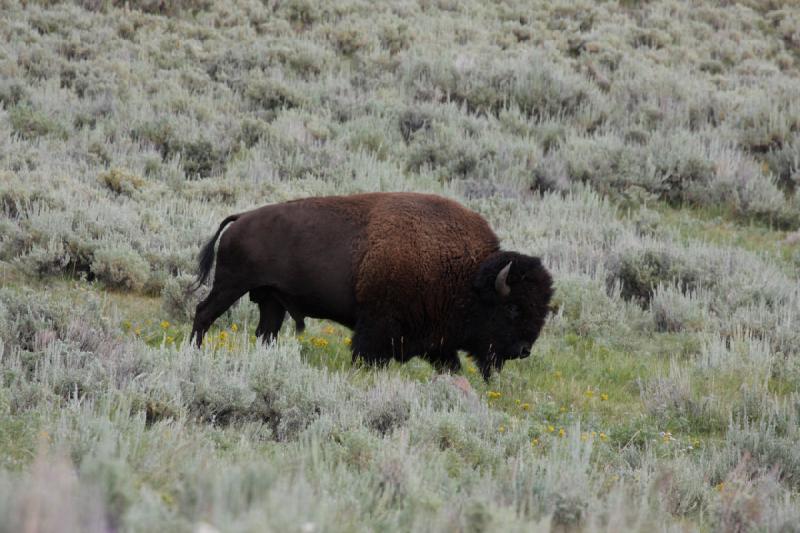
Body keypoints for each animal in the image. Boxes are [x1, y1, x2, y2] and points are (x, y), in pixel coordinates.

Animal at [189, 192, 552, 378]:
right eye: (513, 308)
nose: (524, 350)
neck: (467, 274)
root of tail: (241, 217)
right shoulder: (377, 327)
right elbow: (366, 355)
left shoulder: (437, 341)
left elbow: (451, 365)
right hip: (231, 285)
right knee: (203, 313)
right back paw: (194, 353)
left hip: (271, 301)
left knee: (265, 333)